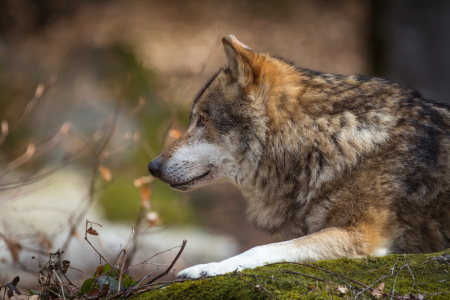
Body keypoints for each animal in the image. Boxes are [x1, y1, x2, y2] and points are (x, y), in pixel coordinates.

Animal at [149, 35, 450, 278]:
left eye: (202, 120)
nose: (153, 166)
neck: (323, 139)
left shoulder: (360, 235)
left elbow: (261, 248)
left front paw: (208, 267)